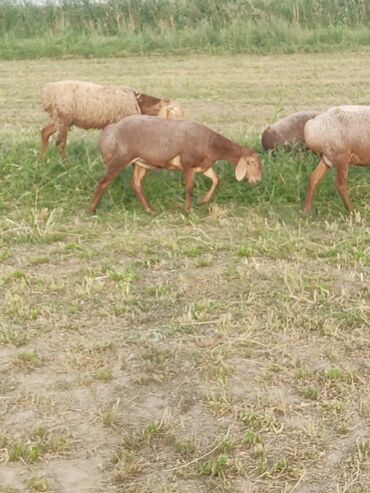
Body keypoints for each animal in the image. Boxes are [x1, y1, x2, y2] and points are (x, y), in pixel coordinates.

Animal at [39, 80, 184, 159]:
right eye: (172, 109)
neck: (139, 102)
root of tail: (48, 91)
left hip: (60, 120)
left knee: (45, 132)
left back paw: (41, 161)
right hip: (63, 118)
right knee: (60, 144)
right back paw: (66, 165)